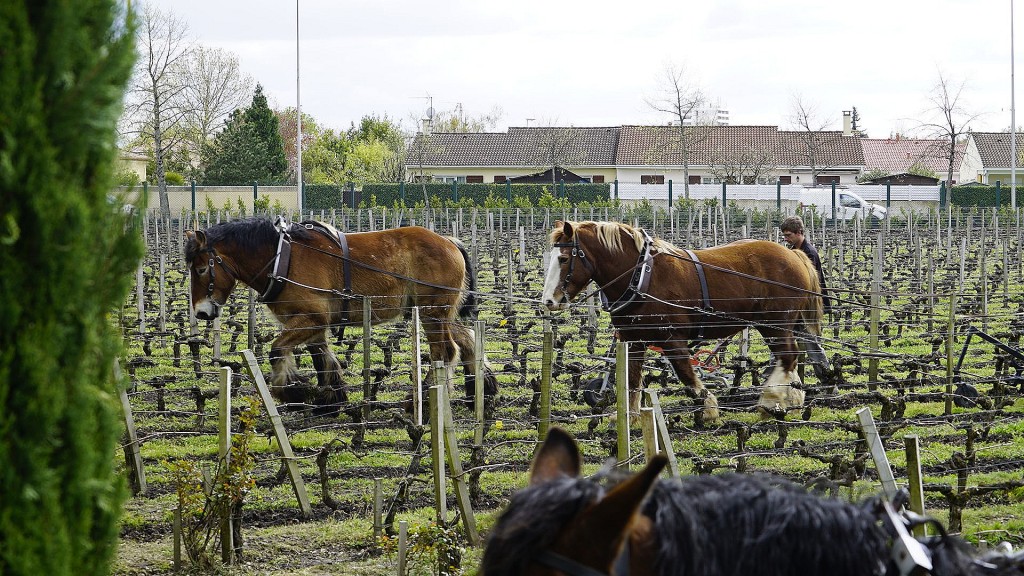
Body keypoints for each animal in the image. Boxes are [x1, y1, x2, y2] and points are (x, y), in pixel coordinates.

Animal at [185, 216, 495, 412]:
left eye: (201, 269)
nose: (201, 312)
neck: (283, 258)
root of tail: (449, 241)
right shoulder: (311, 324)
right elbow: (322, 359)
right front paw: (329, 399)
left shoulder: (311, 319)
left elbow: (277, 351)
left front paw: (292, 391)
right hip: (439, 312)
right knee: (467, 339)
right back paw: (479, 391)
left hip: (432, 313)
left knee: (445, 351)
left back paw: (424, 400)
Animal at [540, 217, 827, 420]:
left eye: (563, 258)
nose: (549, 301)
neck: (641, 275)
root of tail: (794, 254)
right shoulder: (632, 340)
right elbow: (632, 379)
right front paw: (628, 418)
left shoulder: (671, 337)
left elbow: (685, 373)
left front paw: (708, 408)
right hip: (782, 324)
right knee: (792, 355)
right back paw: (793, 397)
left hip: (774, 323)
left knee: (788, 355)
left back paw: (771, 399)